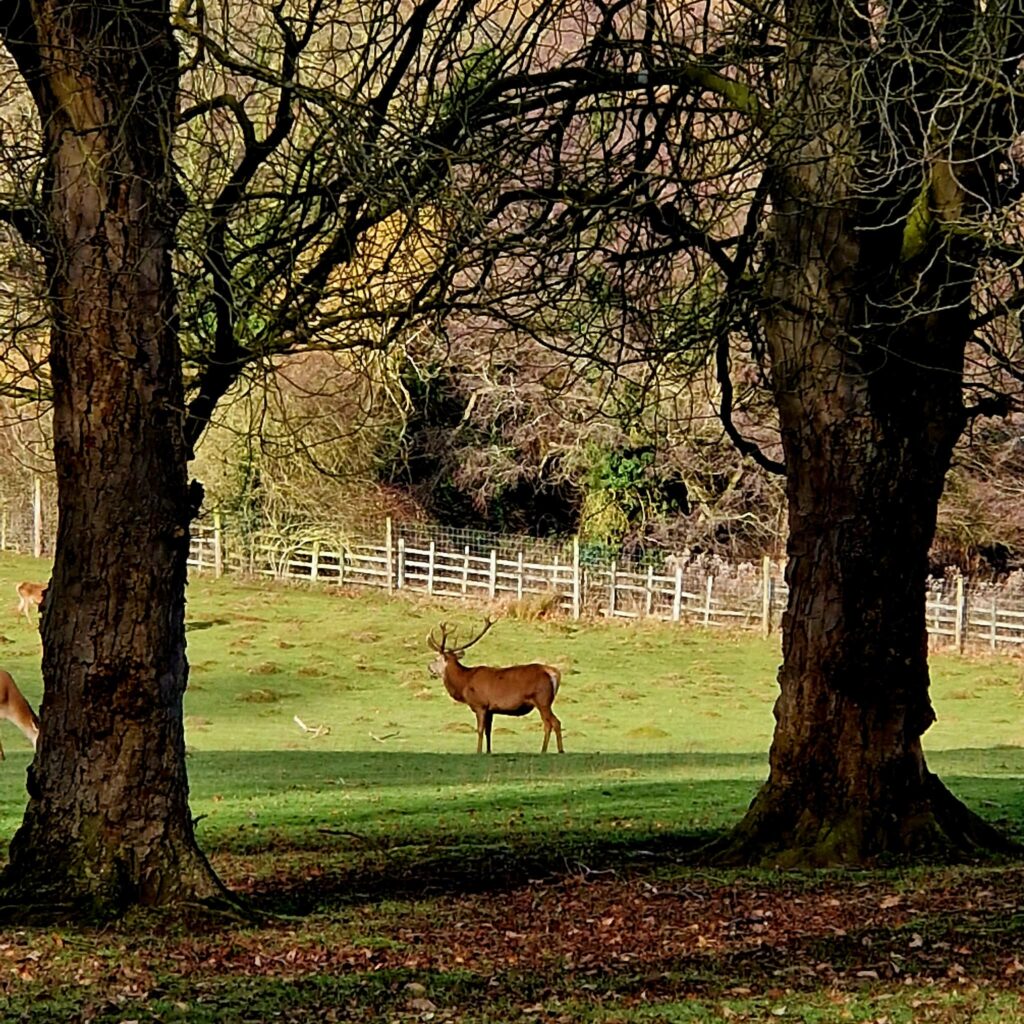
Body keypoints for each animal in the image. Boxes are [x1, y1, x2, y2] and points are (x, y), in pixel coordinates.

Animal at [425, 614, 565, 753]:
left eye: (436, 659)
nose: (429, 667)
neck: (464, 682)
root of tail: (553, 672)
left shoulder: (480, 705)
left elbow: (480, 730)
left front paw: (478, 751)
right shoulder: (490, 709)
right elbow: (488, 731)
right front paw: (488, 751)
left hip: (542, 700)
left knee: (554, 723)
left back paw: (556, 750)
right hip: (544, 702)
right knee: (549, 723)